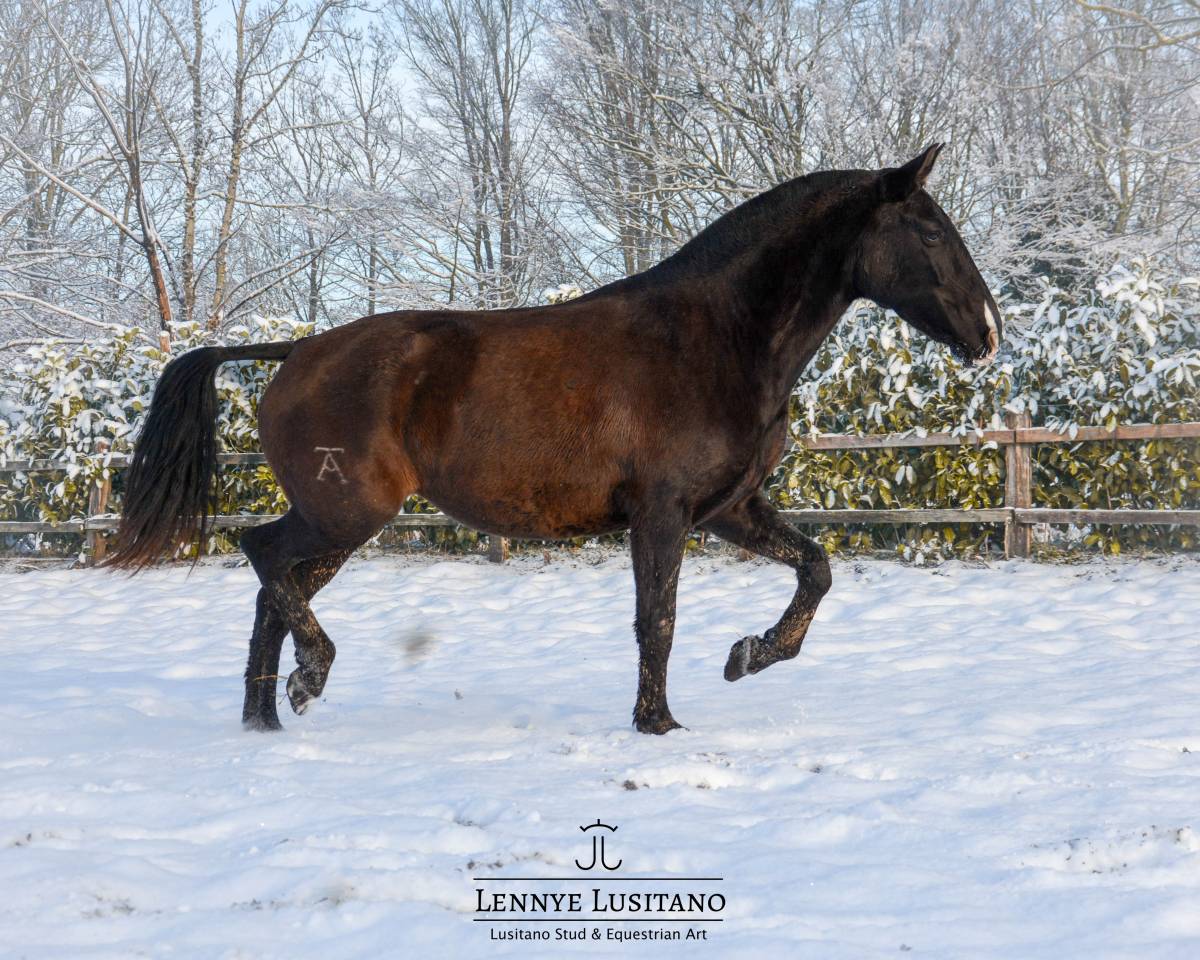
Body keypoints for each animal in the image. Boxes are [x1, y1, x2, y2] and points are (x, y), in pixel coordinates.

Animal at [106, 143, 1002, 735]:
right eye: (928, 232)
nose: (988, 333)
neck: (717, 337)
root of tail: (293, 354)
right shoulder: (663, 514)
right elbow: (657, 618)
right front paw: (658, 723)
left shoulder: (729, 508)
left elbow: (816, 569)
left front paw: (747, 655)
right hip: (344, 511)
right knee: (261, 555)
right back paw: (308, 679)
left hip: (341, 523)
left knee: (273, 586)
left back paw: (269, 714)